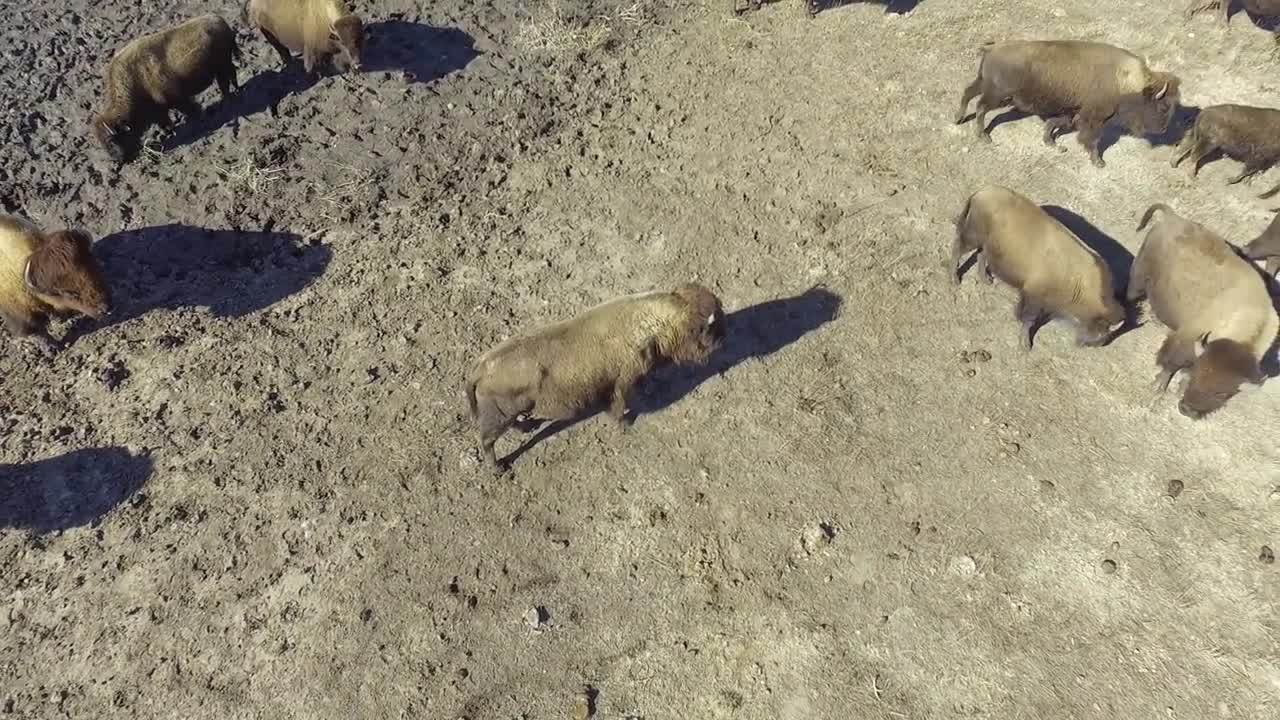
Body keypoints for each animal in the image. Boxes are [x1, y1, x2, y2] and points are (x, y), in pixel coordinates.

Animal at [93, 14, 240, 163]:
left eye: (112, 140)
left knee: (225, 82)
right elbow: (164, 122)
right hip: (224, 65)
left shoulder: (175, 99)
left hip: (222, 66)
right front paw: (169, 133)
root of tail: (219, 19)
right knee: (231, 75)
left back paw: (227, 100)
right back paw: (236, 92)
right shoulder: (157, 110)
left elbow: (189, 109)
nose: (118, 160)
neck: (135, 77)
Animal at [460, 280, 727, 471]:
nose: (721, 341)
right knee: (487, 441)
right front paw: (625, 425)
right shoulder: (621, 385)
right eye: (707, 328)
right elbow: (619, 407)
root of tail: (480, 367)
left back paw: (527, 427)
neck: (651, 323)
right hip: (499, 418)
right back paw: (499, 469)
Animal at [952, 40, 1177, 166]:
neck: (1126, 81)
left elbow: (1055, 124)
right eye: (1163, 106)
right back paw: (983, 136)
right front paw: (1098, 162)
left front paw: (1051, 143)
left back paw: (958, 119)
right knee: (981, 107)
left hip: (985, 84)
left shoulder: (1072, 112)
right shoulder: (1094, 119)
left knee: (968, 94)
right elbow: (1092, 139)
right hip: (998, 95)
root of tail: (991, 49)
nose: (1165, 129)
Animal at [952, 185, 1121, 348]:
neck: (1080, 282)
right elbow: (1028, 320)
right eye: (1103, 329)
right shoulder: (1033, 298)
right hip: (972, 237)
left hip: (986, 243)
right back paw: (954, 279)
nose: (1094, 345)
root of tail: (982, 192)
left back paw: (985, 279)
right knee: (958, 250)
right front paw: (1025, 344)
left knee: (981, 255)